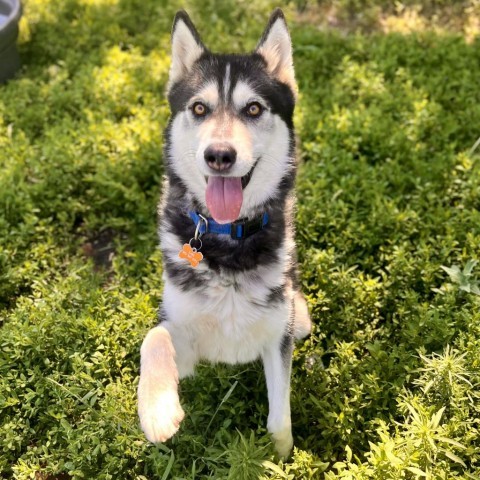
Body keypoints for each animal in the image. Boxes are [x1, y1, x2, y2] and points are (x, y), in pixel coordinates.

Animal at [139, 8, 312, 458]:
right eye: (199, 108)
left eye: (253, 108)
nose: (219, 155)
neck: (227, 238)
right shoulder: (187, 344)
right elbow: (154, 336)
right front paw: (157, 408)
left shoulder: (277, 337)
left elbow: (280, 419)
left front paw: (282, 458)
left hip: (299, 316)